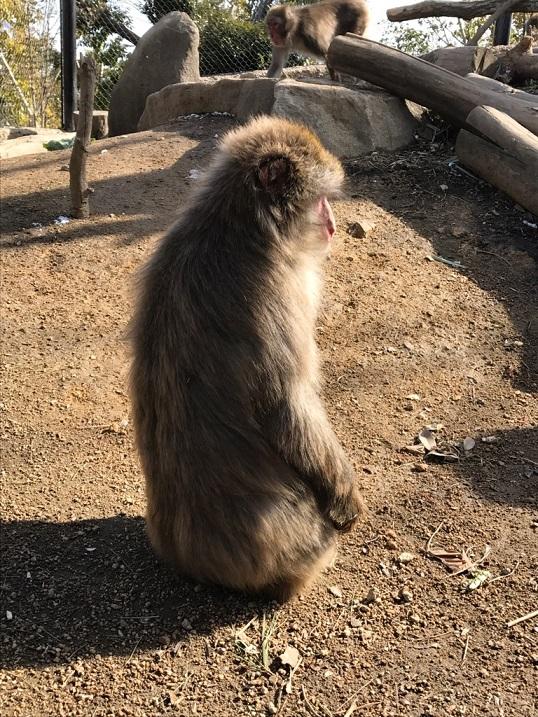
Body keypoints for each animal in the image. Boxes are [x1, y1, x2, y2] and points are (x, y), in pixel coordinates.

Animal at [129, 116, 364, 600]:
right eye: (320, 200)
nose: (333, 226)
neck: (238, 226)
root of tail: (191, 564)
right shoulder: (276, 289)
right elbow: (285, 403)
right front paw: (346, 498)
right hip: (296, 546)